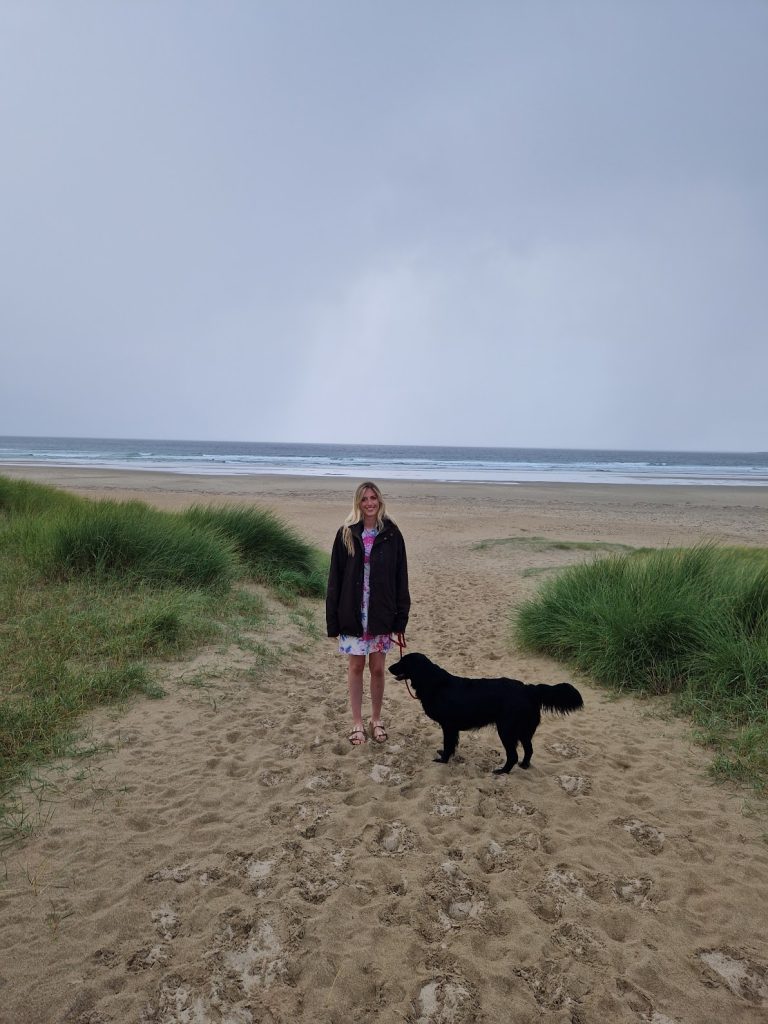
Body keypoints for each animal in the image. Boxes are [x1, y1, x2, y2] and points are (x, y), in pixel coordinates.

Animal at [391, 651, 581, 770]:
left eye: (402, 661)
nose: (388, 668)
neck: (433, 682)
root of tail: (529, 689)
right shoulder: (451, 727)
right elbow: (451, 745)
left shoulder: (448, 725)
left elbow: (448, 744)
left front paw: (443, 759)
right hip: (523, 731)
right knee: (529, 750)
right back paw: (524, 766)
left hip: (506, 730)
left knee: (513, 755)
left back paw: (502, 771)